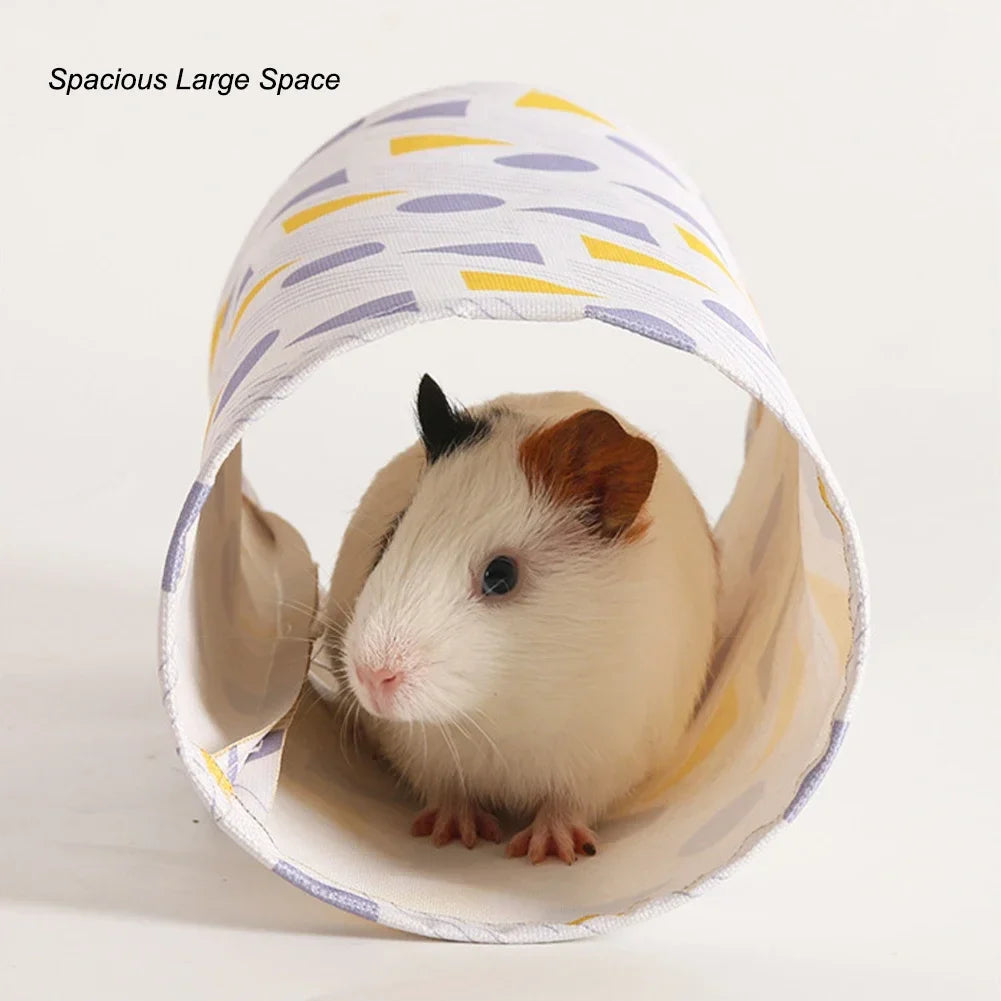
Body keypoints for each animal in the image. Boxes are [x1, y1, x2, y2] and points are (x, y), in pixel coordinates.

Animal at [318, 375, 717, 864]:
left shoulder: (605, 759)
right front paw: (456, 834)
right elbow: (449, 791)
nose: (374, 676)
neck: (498, 713)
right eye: (390, 537)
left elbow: (566, 805)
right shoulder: (424, 756)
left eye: (501, 575)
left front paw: (549, 852)